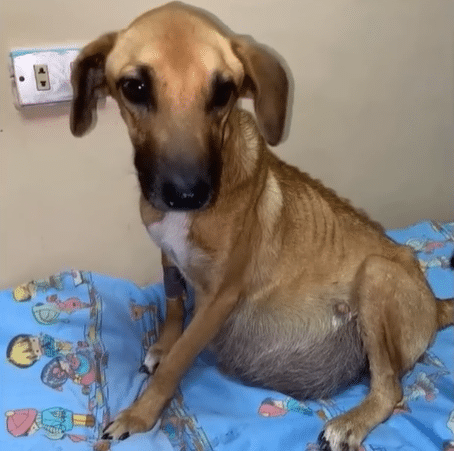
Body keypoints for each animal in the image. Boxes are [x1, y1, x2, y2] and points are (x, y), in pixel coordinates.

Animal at [70, 2, 454, 450]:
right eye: (134, 87)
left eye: (223, 92)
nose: (188, 193)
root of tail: (435, 303)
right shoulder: (167, 255)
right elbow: (173, 304)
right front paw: (163, 345)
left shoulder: (220, 297)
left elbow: (179, 361)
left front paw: (141, 413)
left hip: (375, 274)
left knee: (390, 388)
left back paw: (350, 422)